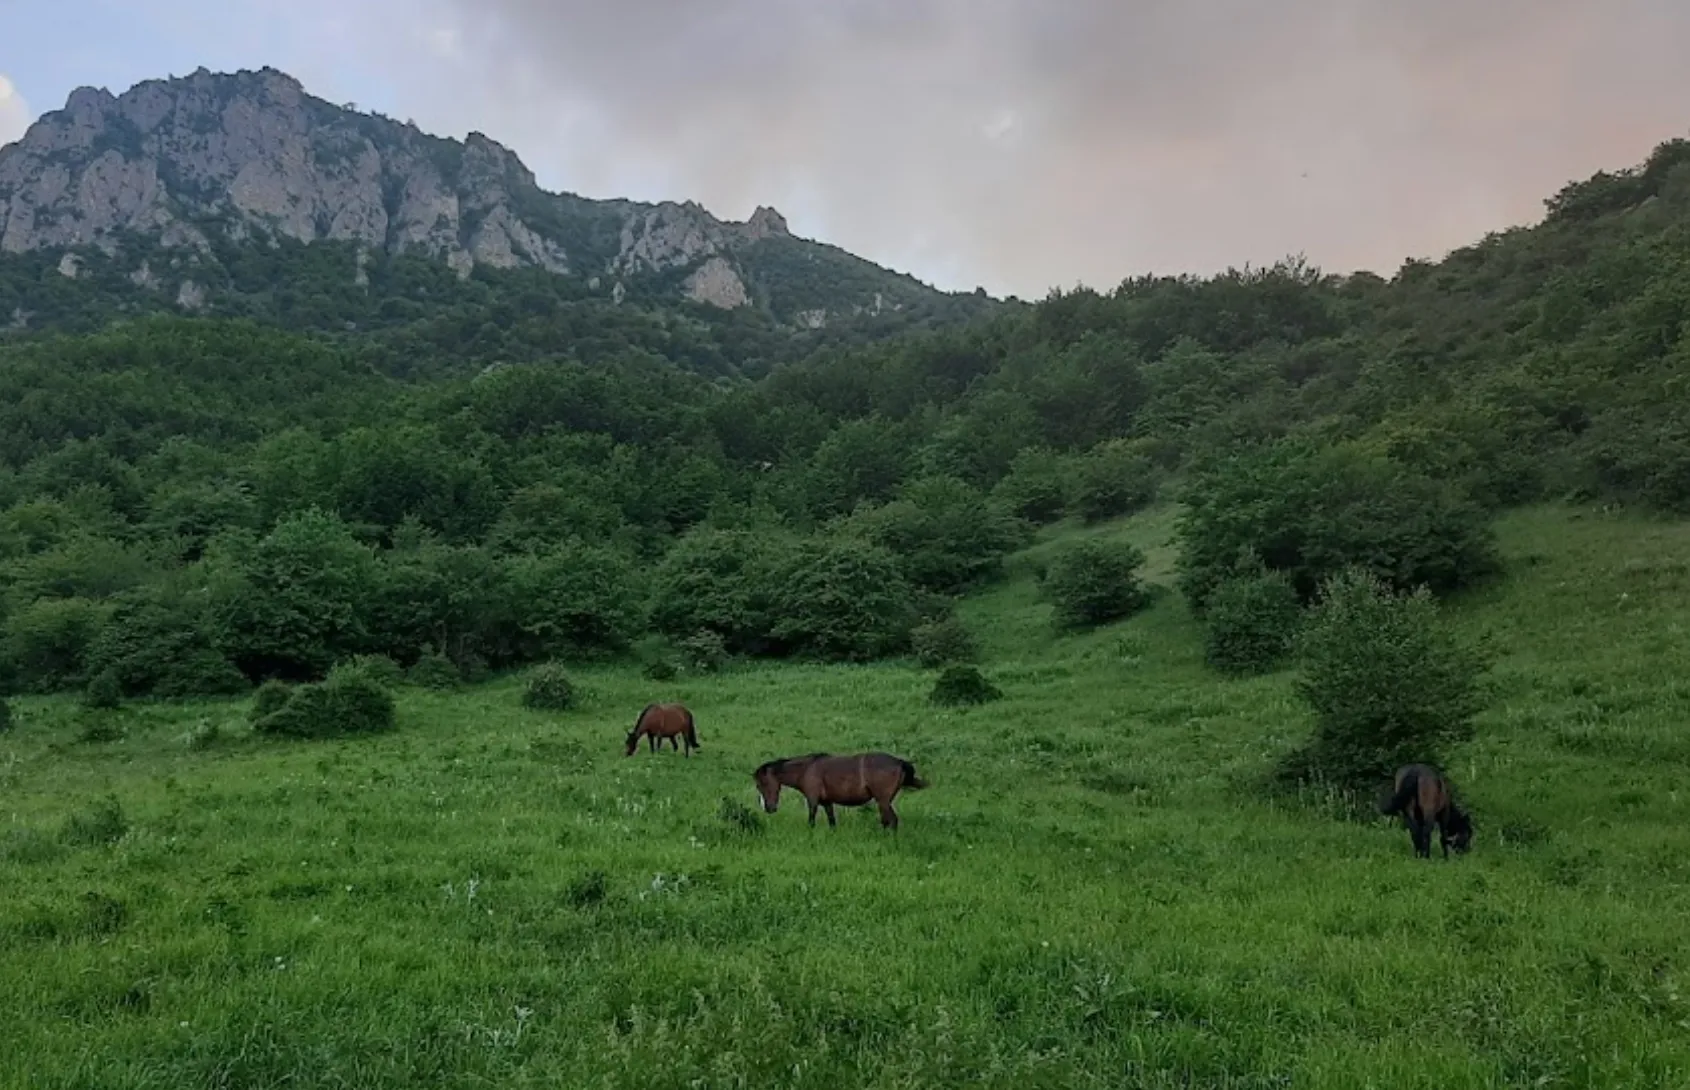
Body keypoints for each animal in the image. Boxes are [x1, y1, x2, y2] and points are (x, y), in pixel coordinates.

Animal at [757, 753, 932, 828]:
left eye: (762, 784)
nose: (769, 808)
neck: (807, 769)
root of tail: (899, 762)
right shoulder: (827, 802)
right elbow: (832, 822)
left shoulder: (812, 800)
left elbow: (811, 821)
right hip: (884, 802)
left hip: (882, 801)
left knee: (891, 821)